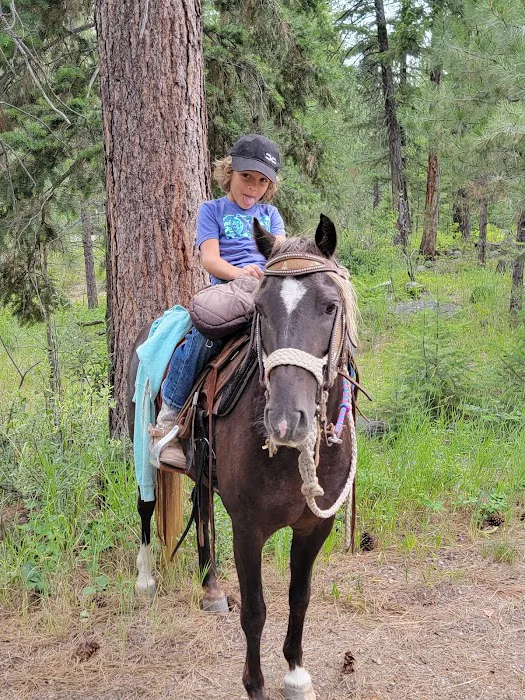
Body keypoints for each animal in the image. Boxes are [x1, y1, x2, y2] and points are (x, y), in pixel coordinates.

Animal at [127, 214, 359, 700]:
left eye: (330, 306)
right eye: (261, 309)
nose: (287, 421)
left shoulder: (316, 527)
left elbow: (299, 597)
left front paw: (296, 675)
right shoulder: (248, 529)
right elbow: (255, 609)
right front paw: (255, 685)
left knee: (199, 508)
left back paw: (211, 588)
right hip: (140, 445)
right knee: (145, 507)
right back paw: (145, 581)